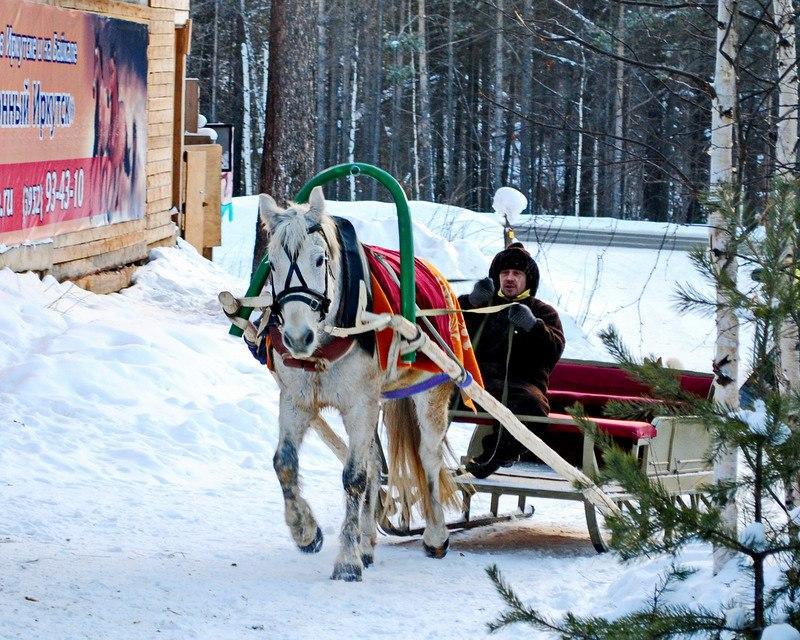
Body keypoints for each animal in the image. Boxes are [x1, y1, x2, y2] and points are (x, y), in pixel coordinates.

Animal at [260, 188, 460, 584]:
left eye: (320, 259)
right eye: (271, 264)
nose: (297, 337)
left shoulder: (359, 404)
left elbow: (353, 476)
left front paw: (347, 561)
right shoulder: (295, 400)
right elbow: (284, 463)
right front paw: (306, 531)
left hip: (432, 389)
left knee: (428, 457)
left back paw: (435, 535)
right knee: (373, 461)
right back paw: (367, 540)